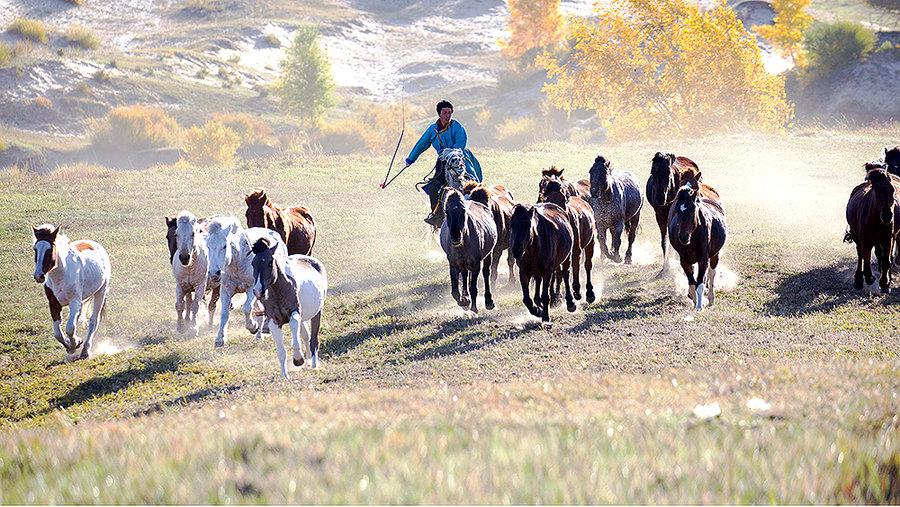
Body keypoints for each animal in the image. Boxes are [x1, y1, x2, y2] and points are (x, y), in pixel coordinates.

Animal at [31, 224, 111, 360]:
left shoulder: (74, 302)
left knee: (93, 321)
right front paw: (70, 346)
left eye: (49, 250)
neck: (60, 276)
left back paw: (85, 351)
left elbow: (70, 328)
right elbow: (58, 333)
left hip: (101, 292)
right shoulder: (54, 304)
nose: (39, 276)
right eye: (35, 249)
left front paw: (76, 344)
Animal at [206, 214, 286, 350]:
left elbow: (247, 308)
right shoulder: (226, 290)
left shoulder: (252, 289)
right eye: (208, 246)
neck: (238, 261)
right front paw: (220, 339)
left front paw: (253, 327)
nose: (214, 273)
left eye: (224, 246)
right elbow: (224, 313)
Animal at [250, 238, 326, 378]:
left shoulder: (294, 314)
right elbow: (281, 352)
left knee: (313, 339)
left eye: (270, 263)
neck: (279, 292)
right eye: (253, 264)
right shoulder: (274, 322)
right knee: (306, 336)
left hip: (317, 313)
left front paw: (298, 359)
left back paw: (314, 365)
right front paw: (284, 375)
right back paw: (308, 362)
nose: (258, 291)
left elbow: (296, 338)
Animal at [844, 166, 900, 294]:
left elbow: (886, 260)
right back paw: (858, 280)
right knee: (860, 255)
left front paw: (885, 283)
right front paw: (870, 278)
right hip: (856, 235)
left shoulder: (887, 239)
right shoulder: (865, 240)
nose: (887, 216)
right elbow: (866, 261)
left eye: (892, 190)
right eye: (877, 191)